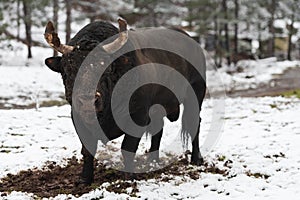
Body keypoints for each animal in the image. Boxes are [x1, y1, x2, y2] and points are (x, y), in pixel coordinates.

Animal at [44, 19, 206, 184]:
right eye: (68, 69)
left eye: (106, 67)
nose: (88, 100)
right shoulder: (78, 118)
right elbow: (88, 149)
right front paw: (85, 178)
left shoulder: (139, 115)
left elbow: (128, 148)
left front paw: (129, 176)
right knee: (158, 129)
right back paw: (153, 162)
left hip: (196, 94)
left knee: (194, 124)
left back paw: (196, 159)